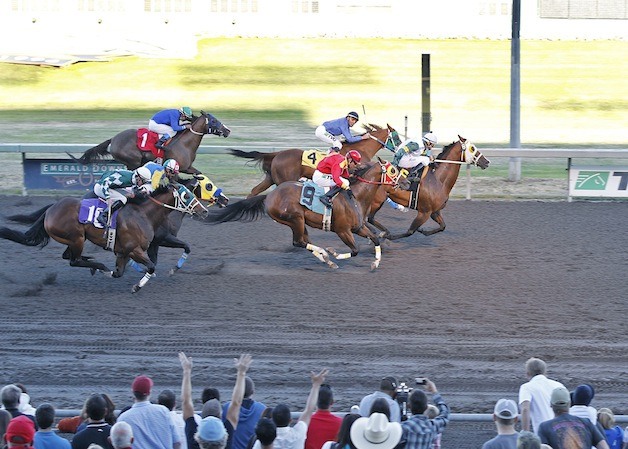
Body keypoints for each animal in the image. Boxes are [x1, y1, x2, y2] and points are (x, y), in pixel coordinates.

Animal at [0, 180, 209, 292]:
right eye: (187, 196)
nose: (205, 211)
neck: (143, 214)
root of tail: (51, 209)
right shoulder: (134, 249)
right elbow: (150, 266)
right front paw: (137, 286)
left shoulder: (124, 252)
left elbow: (119, 272)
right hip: (77, 237)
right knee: (73, 260)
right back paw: (98, 266)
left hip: (74, 238)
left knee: (68, 256)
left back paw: (94, 265)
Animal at [70, 111, 231, 174]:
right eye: (214, 121)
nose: (228, 130)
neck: (185, 144)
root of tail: (114, 139)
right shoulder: (181, 168)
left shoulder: (187, 168)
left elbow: (199, 175)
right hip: (133, 161)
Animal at [204, 158, 410, 270]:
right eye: (393, 170)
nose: (407, 183)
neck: (355, 196)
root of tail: (269, 196)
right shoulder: (343, 230)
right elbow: (355, 250)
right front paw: (334, 252)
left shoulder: (358, 227)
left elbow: (374, 239)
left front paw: (375, 264)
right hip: (295, 218)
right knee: (299, 242)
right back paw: (326, 254)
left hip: (299, 222)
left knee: (304, 241)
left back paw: (326, 259)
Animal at [228, 124, 400, 198]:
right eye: (396, 137)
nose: (400, 149)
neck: (360, 149)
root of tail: (277, 153)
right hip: (284, 179)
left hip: (271, 178)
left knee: (254, 191)